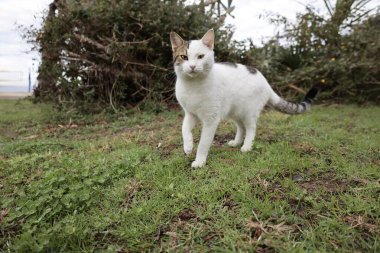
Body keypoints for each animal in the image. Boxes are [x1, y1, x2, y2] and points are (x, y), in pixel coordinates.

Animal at [170, 29, 318, 168]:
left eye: (200, 56)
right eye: (184, 57)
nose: (192, 66)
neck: (193, 85)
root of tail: (265, 81)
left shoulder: (211, 119)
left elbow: (203, 143)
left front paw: (200, 161)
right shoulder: (190, 114)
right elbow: (184, 129)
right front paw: (188, 146)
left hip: (248, 112)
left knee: (251, 128)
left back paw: (247, 146)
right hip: (235, 111)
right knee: (241, 127)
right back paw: (236, 142)